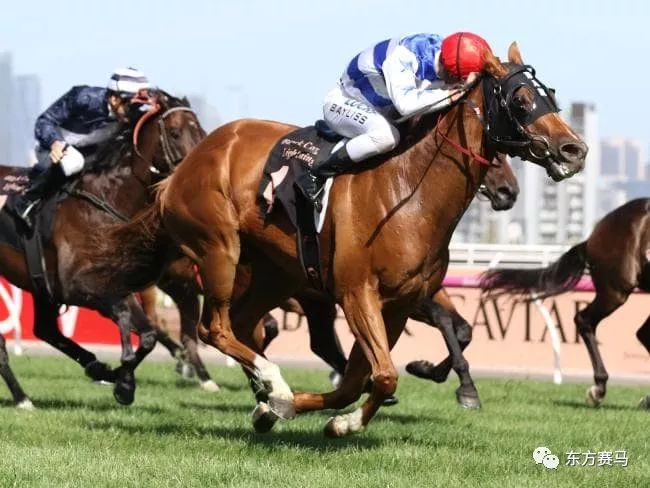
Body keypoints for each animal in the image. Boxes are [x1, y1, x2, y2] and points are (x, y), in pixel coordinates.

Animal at [0, 90, 204, 407]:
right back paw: (23, 397)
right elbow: (123, 315)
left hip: (39, 284)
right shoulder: (76, 286)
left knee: (45, 329)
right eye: (174, 132)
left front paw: (122, 380)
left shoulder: (116, 283)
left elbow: (148, 334)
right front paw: (123, 376)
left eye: (202, 132)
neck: (107, 201)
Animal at [111, 42, 586, 437]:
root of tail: (180, 170)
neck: (409, 193)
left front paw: (294, 412)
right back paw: (270, 380)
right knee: (215, 327)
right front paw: (326, 416)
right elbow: (384, 374)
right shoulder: (358, 293)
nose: (574, 149)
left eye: (551, 95)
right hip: (219, 250)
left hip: (274, 273)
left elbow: (362, 379)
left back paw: (267, 391)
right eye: (521, 100)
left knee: (247, 326)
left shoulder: (401, 302)